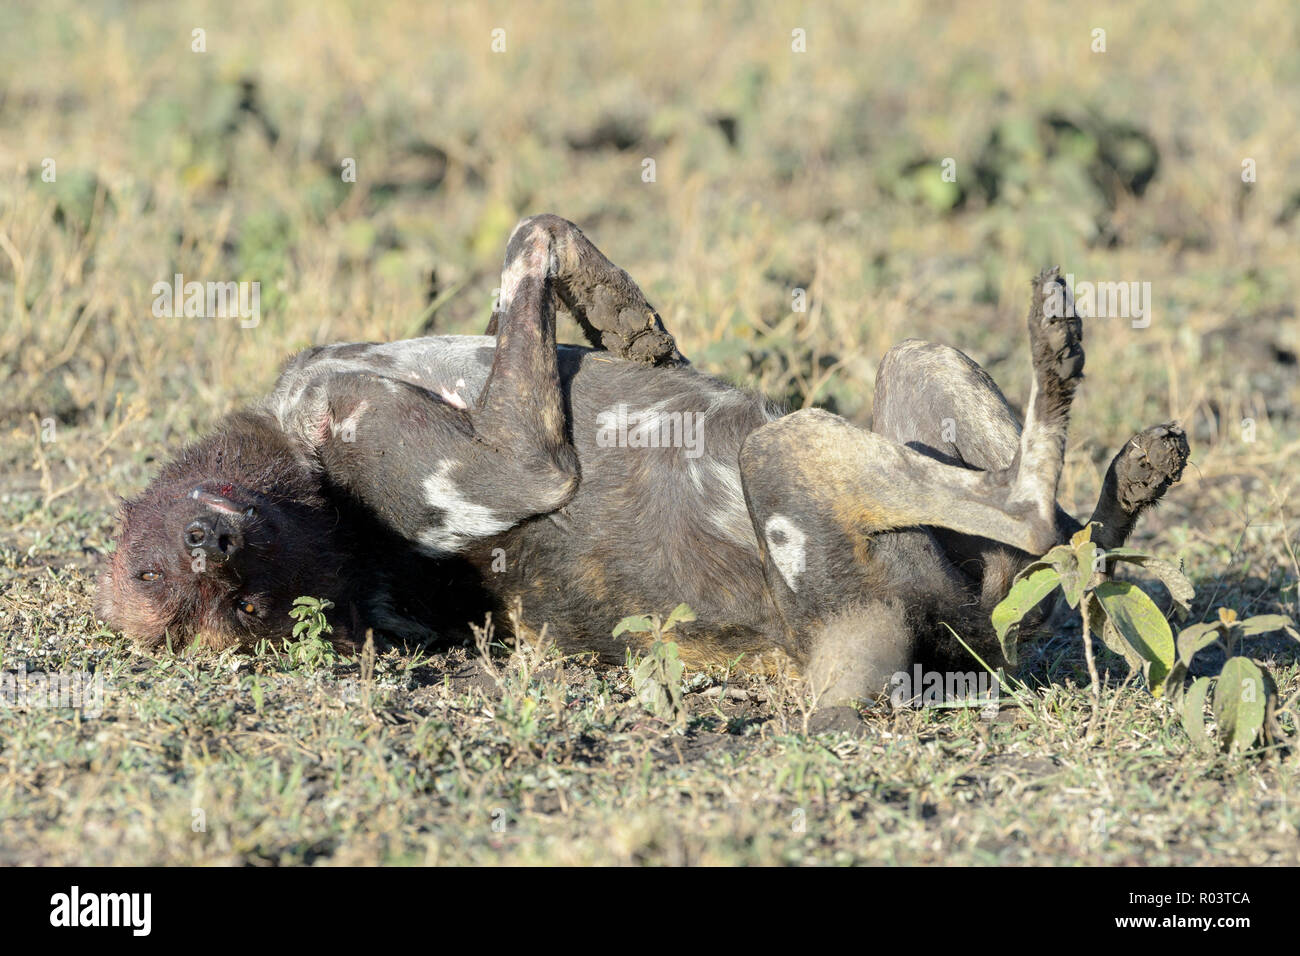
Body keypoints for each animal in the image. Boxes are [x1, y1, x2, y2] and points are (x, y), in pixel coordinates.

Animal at [94, 213, 1190, 723]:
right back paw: (1065, 389)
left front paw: (628, 321)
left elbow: (543, 258)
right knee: (1030, 522)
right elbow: (530, 239)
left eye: (165, 568)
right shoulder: (436, 441)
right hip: (797, 477)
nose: (214, 547)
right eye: (222, 608)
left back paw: (1131, 478)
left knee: (1040, 521)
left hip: (913, 381)